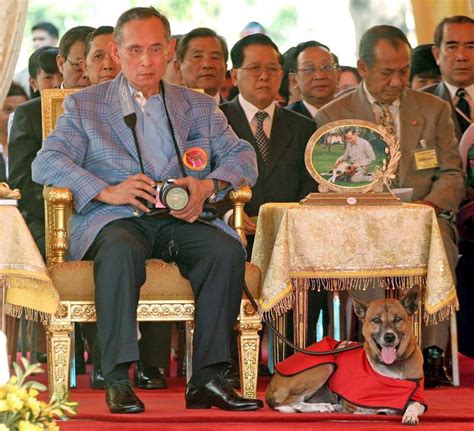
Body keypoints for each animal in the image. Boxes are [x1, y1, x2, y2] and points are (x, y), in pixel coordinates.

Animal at [266, 286, 426, 426]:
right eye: (376, 320)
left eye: (398, 319)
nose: (389, 337)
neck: (392, 366)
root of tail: (271, 383)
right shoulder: (355, 404)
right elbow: (373, 409)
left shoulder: (418, 398)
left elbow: (415, 405)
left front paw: (409, 415)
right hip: (325, 366)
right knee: (291, 402)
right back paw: (322, 406)